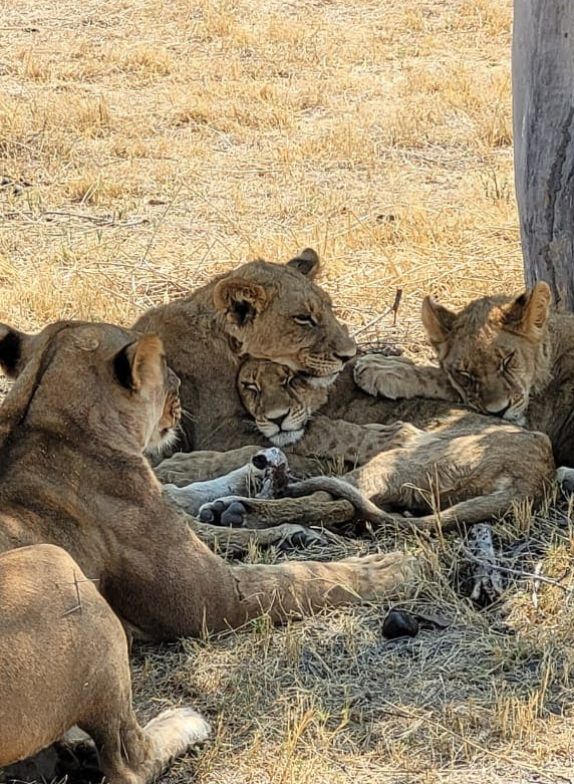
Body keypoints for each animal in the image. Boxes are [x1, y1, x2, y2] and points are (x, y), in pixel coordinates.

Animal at [0, 319, 419, 774]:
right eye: (166, 369)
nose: (181, 388)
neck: (38, 415)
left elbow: (198, 505)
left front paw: (256, 487)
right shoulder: (209, 599)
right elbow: (296, 579)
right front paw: (391, 567)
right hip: (55, 563)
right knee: (128, 759)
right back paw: (184, 722)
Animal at [133, 248, 357, 453]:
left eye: (330, 308)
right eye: (303, 318)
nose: (349, 355)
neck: (230, 347)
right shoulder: (217, 434)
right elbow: (321, 433)